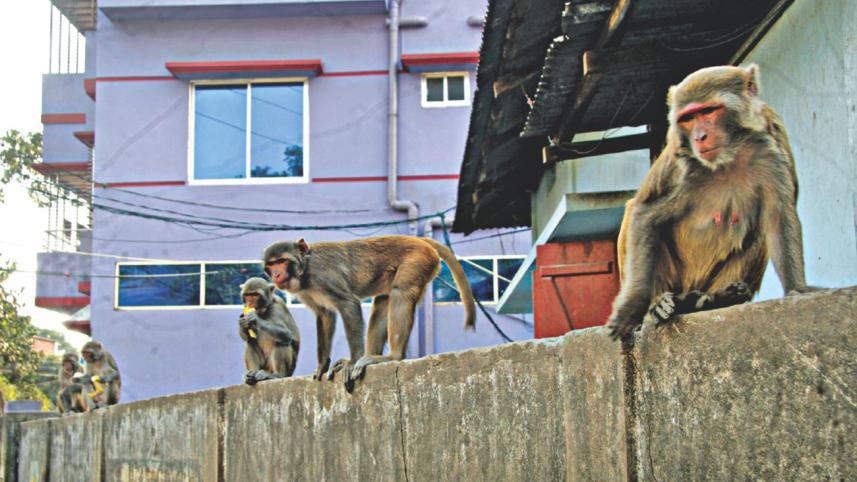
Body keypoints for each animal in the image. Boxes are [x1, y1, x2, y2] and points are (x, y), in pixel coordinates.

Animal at [263, 235, 475, 392]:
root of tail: (416, 239)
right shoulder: (306, 292)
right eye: (272, 265)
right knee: (382, 302)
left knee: (400, 293)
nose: (276, 275)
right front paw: (323, 365)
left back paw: (393, 357)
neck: (305, 269)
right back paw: (371, 356)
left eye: (282, 261)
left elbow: (348, 304)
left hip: (418, 260)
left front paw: (352, 362)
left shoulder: (322, 275)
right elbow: (324, 314)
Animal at [608, 64, 817, 340]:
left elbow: (778, 216)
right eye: (688, 118)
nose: (700, 137)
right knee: (637, 214)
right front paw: (634, 307)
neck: (729, 157)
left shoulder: (771, 140)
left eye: (708, 111)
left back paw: (717, 298)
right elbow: (645, 211)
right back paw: (663, 303)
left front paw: (797, 290)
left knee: (760, 229)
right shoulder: (679, 162)